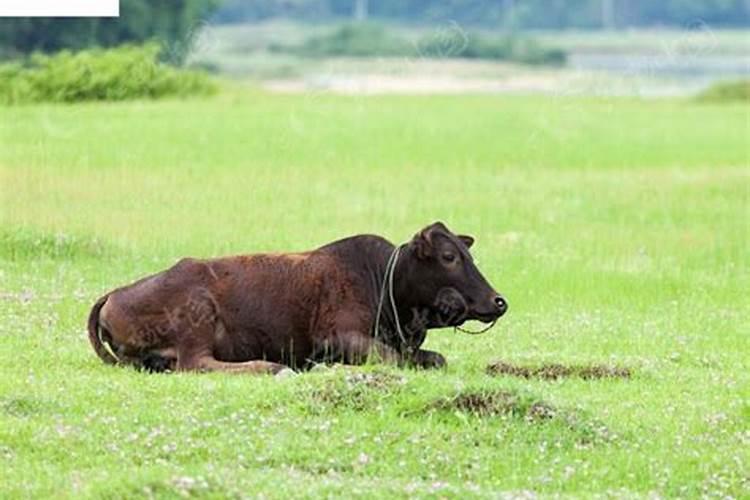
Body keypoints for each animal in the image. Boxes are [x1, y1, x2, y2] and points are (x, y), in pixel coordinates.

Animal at [89, 223, 512, 376]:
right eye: (449, 256)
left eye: (467, 252)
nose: (498, 301)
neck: (385, 280)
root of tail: (113, 295)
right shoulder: (339, 337)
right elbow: (388, 358)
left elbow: (433, 358)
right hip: (199, 317)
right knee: (197, 364)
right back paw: (272, 367)